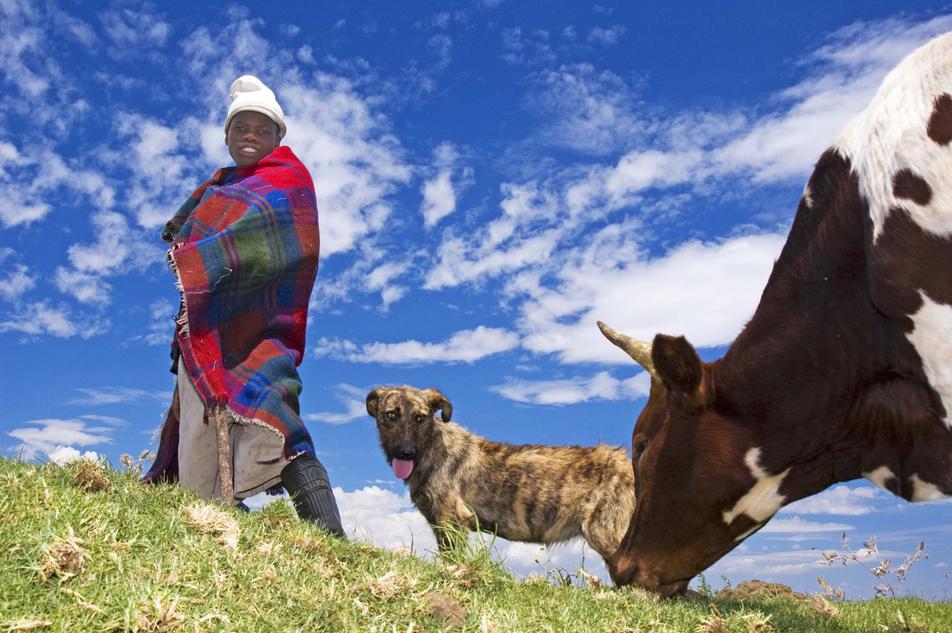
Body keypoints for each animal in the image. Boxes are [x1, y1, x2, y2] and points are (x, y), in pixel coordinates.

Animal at [368, 382, 636, 576]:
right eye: (390, 415)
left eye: (420, 418)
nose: (406, 453)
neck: (431, 446)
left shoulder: (451, 520)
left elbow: (452, 558)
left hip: (608, 532)